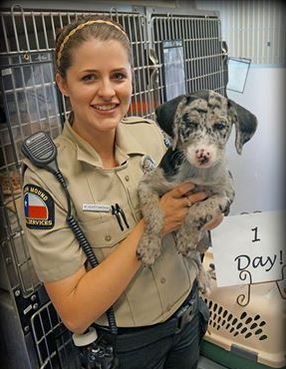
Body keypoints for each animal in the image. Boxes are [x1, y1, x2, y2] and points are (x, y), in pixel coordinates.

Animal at [136, 89, 256, 290]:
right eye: (190, 124)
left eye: (220, 126)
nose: (203, 155)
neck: (196, 172)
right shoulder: (147, 185)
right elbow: (154, 215)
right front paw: (150, 246)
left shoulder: (225, 197)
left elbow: (198, 210)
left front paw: (186, 236)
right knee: (195, 260)